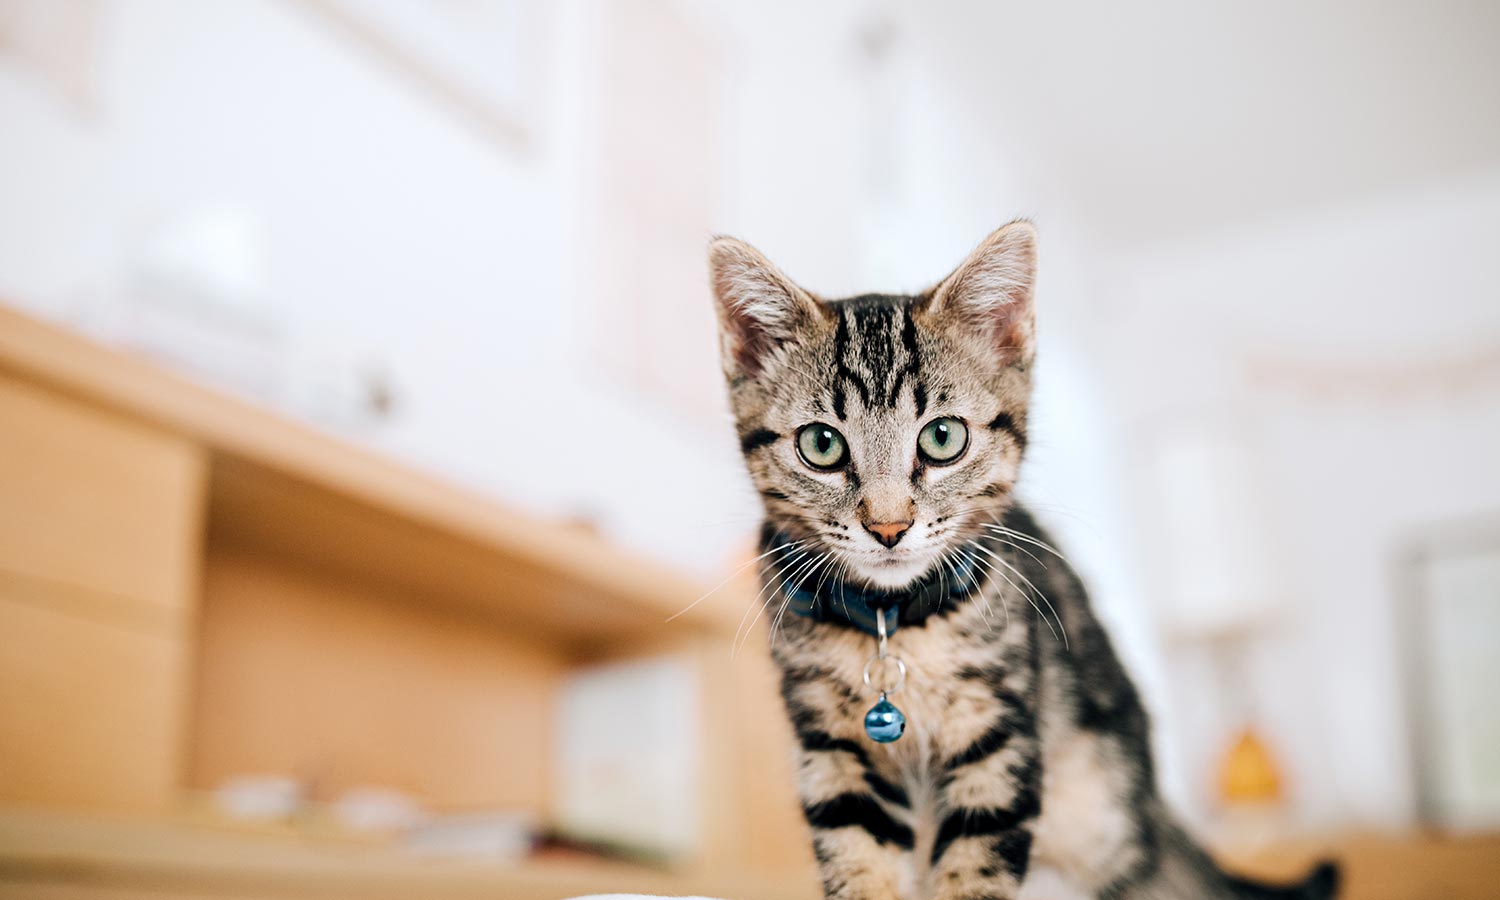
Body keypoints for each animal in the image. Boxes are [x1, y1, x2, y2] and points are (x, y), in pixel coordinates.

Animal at [708, 219, 1344, 900]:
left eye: (943, 437)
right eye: (821, 444)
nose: (888, 527)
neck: (893, 627)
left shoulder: (1000, 734)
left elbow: (974, 871)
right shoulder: (833, 753)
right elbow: (859, 863)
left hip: (1104, 818)